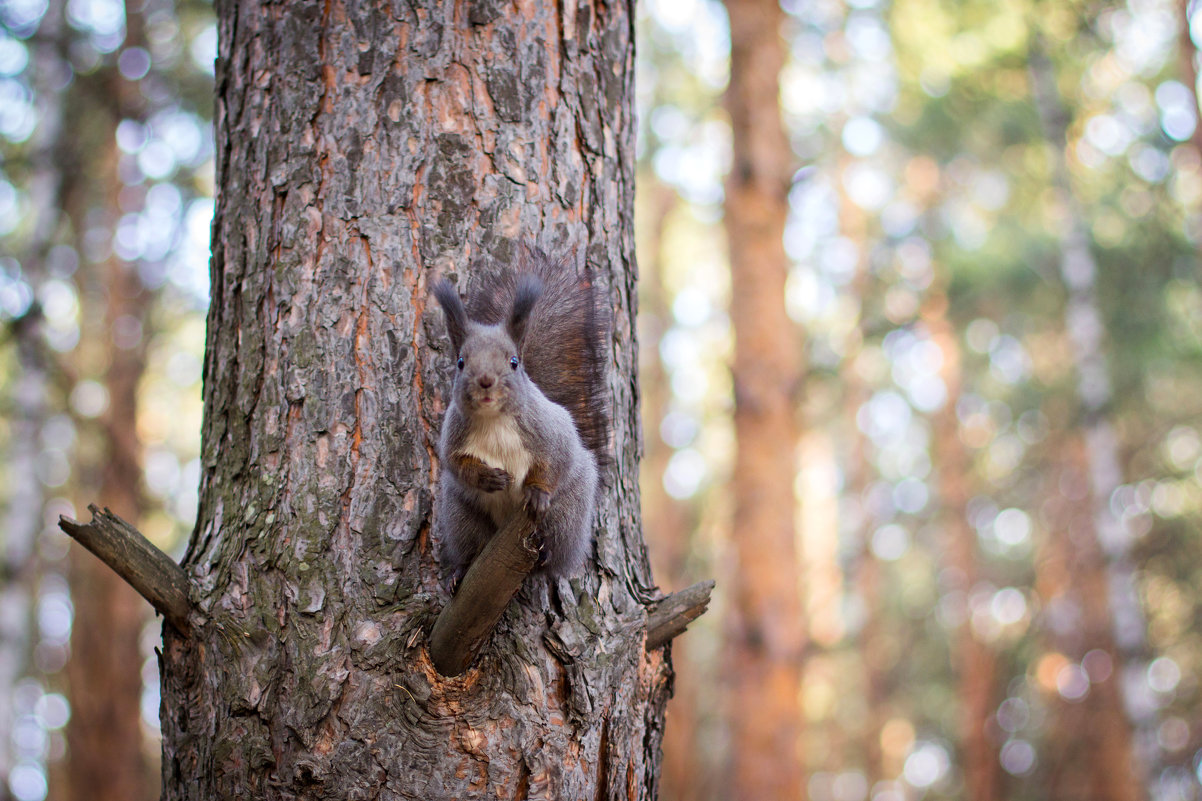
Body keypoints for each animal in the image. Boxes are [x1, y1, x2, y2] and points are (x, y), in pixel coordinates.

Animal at [432, 245, 610, 586]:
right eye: (461, 362)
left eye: (513, 362)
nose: (486, 381)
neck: (494, 419)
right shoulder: (453, 436)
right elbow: (456, 464)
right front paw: (489, 477)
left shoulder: (550, 431)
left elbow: (555, 460)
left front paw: (537, 492)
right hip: (462, 513)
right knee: (471, 541)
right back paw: (461, 570)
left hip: (569, 512)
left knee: (555, 546)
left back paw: (547, 553)